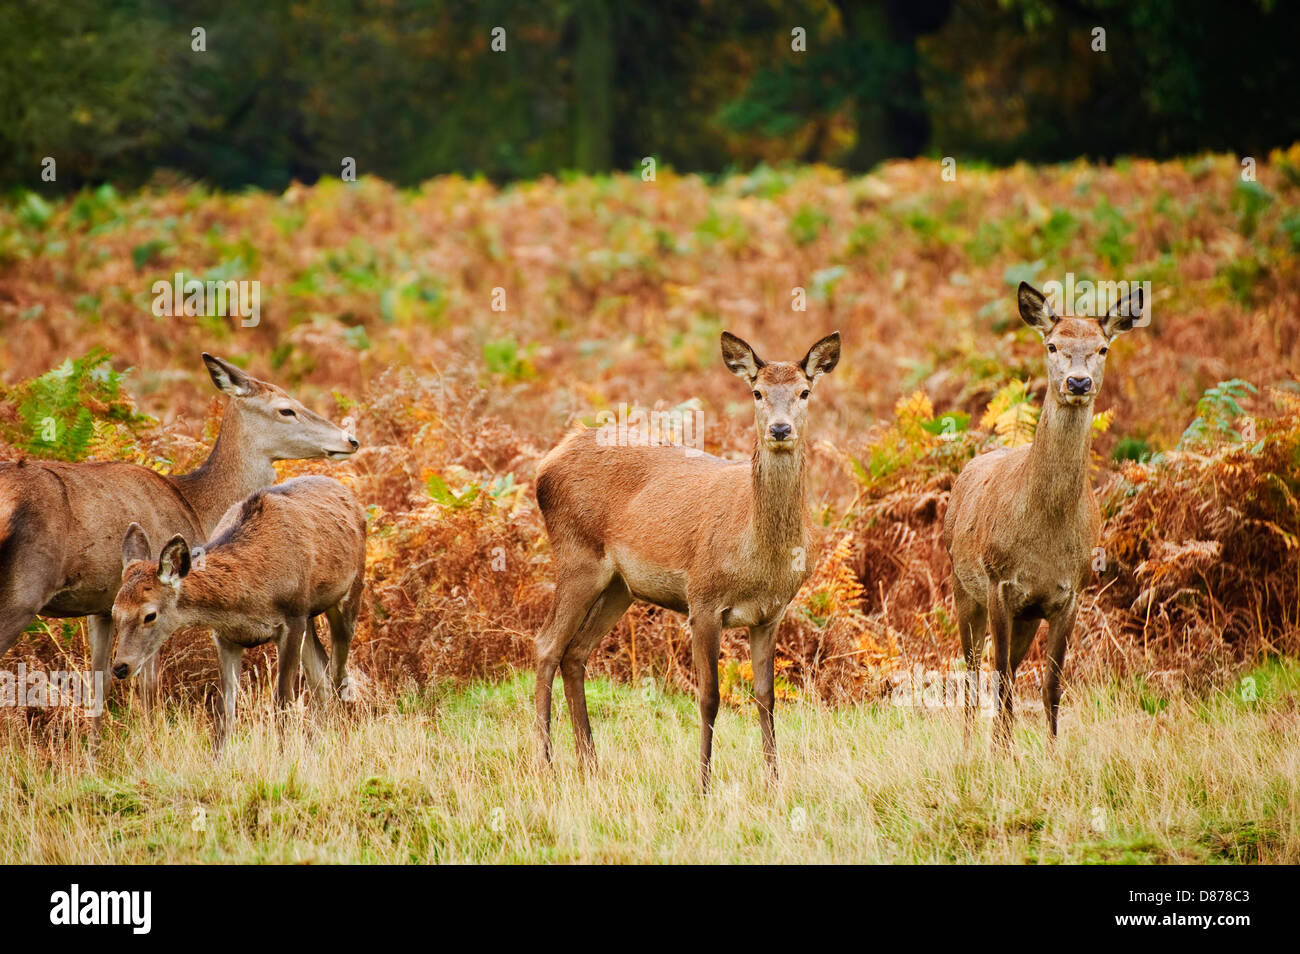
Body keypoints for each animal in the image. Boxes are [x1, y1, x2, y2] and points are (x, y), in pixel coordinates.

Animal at [0, 356, 358, 727]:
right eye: (286, 409)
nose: (350, 439)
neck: (195, 507)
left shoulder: (101, 605)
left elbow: (98, 687)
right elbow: (148, 688)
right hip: (23, 589)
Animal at [110, 478, 366, 753]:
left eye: (150, 615)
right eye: (115, 613)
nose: (121, 667)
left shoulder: (292, 619)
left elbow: (282, 702)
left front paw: (284, 755)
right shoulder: (225, 637)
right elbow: (224, 712)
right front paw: (218, 757)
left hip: (346, 598)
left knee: (339, 675)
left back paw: (340, 741)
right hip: (308, 617)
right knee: (321, 675)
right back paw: (313, 745)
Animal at [535, 328, 842, 790]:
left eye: (805, 392)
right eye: (756, 391)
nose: (780, 428)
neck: (759, 556)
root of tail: (546, 463)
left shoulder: (771, 613)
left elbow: (766, 697)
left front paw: (774, 781)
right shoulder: (703, 600)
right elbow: (709, 697)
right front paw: (703, 784)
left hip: (619, 586)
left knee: (575, 653)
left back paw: (590, 764)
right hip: (576, 556)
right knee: (546, 646)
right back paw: (545, 764)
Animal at [941, 282, 1144, 748]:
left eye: (1102, 348)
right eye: (1052, 345)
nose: (1078, 381)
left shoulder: (1070, 593)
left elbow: (1051, 683)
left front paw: (1050, 752)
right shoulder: (999, 583)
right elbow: (997, 675)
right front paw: (1001, 753)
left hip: (1027, 616)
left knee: (1010, 670)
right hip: (963, 585)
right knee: (974, 668)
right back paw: (968, 742)